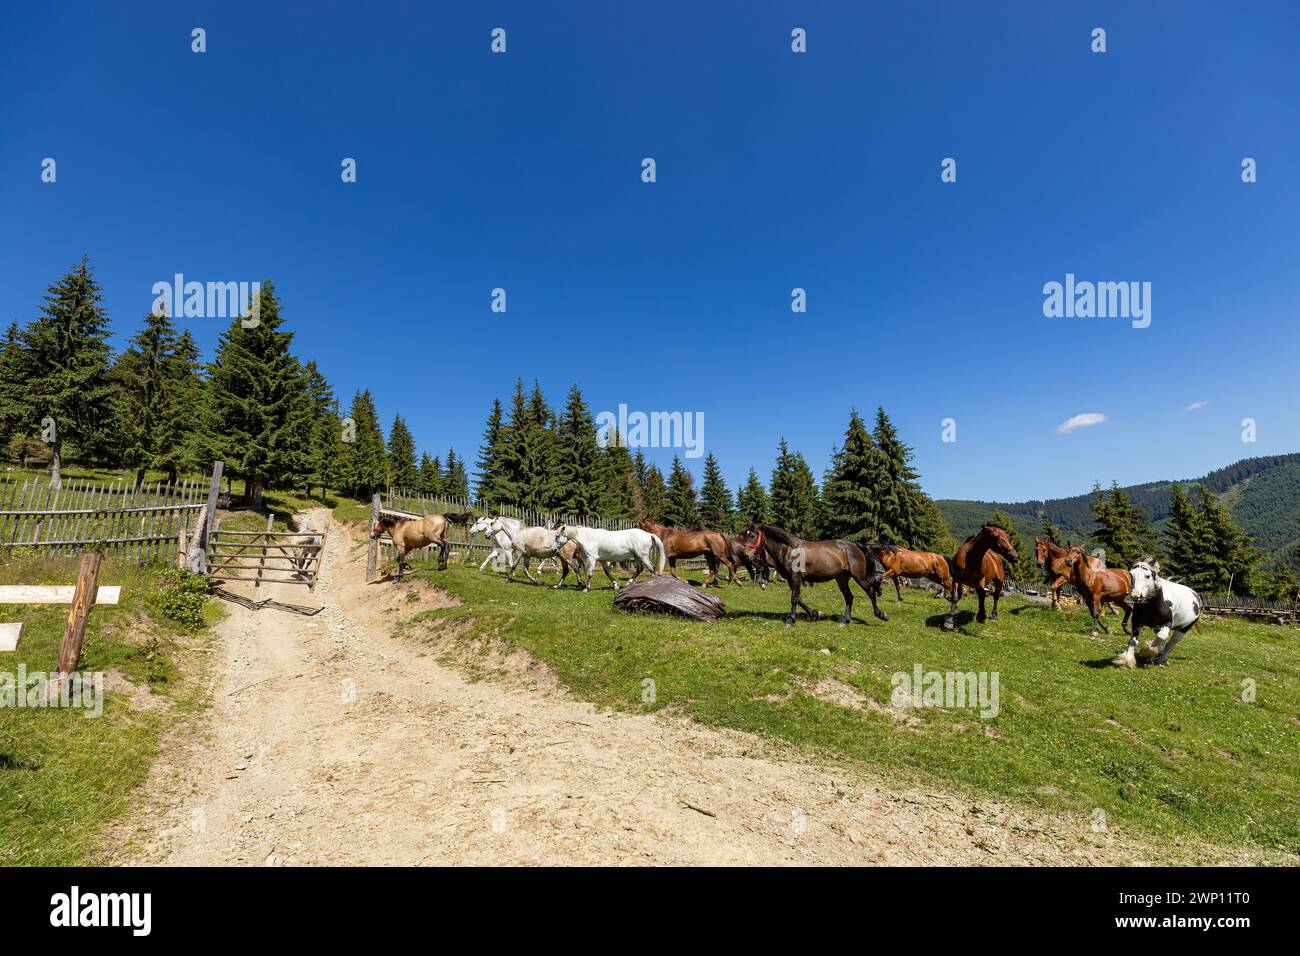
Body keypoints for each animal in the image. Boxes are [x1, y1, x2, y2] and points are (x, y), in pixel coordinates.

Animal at [743, 521, 888, 627]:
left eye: (752, 535)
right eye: (747, 535)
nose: (746, 555)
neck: (789, 550)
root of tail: (856, 546)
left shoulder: (796, 577)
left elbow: (794, 598)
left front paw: (791, 620)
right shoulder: (790, 579)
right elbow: (799, 599)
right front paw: (815, 614)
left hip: (859, 576)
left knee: (870, 592)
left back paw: (881, 615)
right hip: (841, 578)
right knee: (849, 597)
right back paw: (845, 621)